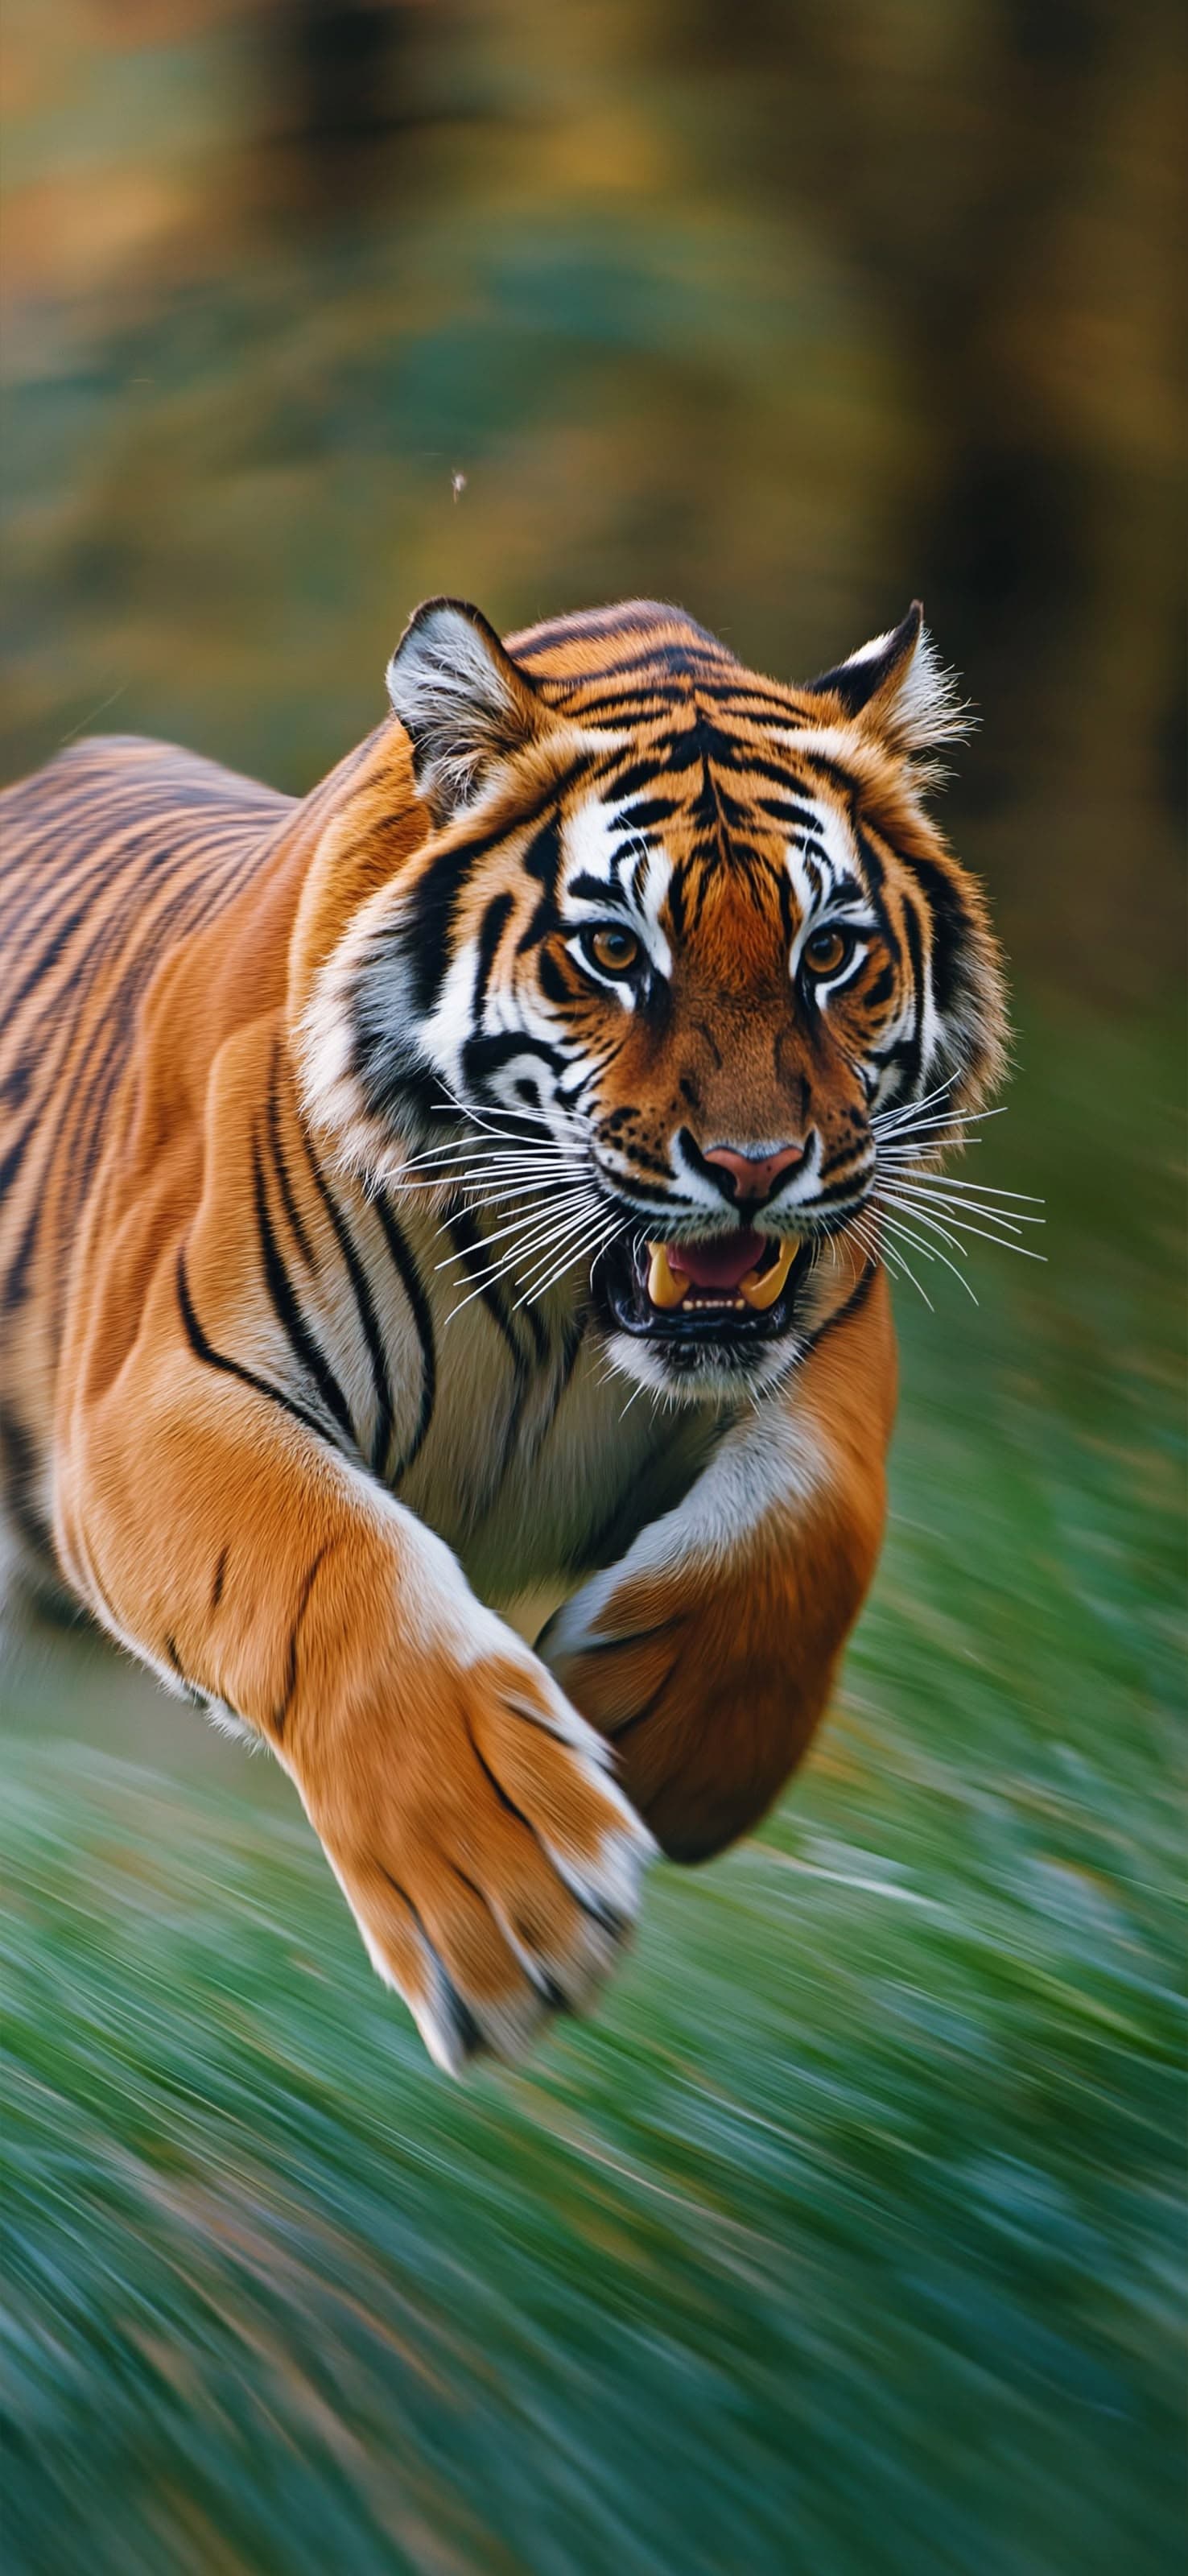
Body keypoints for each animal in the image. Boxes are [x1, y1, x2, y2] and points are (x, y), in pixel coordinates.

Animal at [0, 595, 1006, 2071]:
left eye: (829, 952)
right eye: (614, 953)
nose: (756, 1168)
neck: (555, 1317)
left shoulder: (825, 1337)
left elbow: (809, 1523)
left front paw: (661, 1746)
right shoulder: (154, 1400)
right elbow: (335, 1574)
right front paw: (508, 1899)